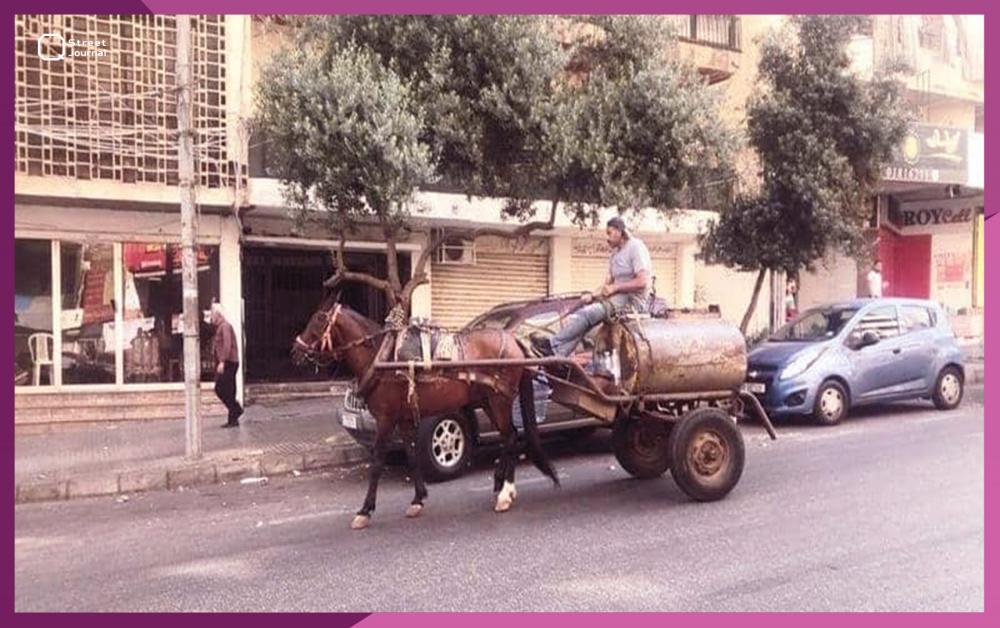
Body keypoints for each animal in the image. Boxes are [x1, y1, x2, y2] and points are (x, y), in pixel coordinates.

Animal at [290, 292, 560, 528]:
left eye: (319, 319)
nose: (295, 351)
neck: (381, 357)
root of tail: (514, 340)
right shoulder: (404, 419)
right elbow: (411, 456)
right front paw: (418, 499)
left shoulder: (386, 419)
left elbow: (377, 462)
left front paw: (365, 510)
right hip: (489, 401)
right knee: (509, 437)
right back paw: (502, 486)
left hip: (499, 400)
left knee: (510, 437)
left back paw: (505, 492)